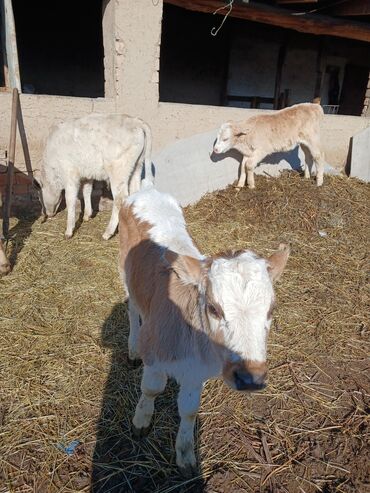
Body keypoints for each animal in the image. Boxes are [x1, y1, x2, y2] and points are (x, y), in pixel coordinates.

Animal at [118, 183, 290, 474]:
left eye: (271, 310)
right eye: (213, 308)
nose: (250, 378)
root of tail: (146, 190)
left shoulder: (197, 373)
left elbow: (188, 409)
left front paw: (186, 455)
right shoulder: (154, 352)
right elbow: (151, 389)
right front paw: (141, 421)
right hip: (123, 268)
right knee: (131, 306)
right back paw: (131, 349)